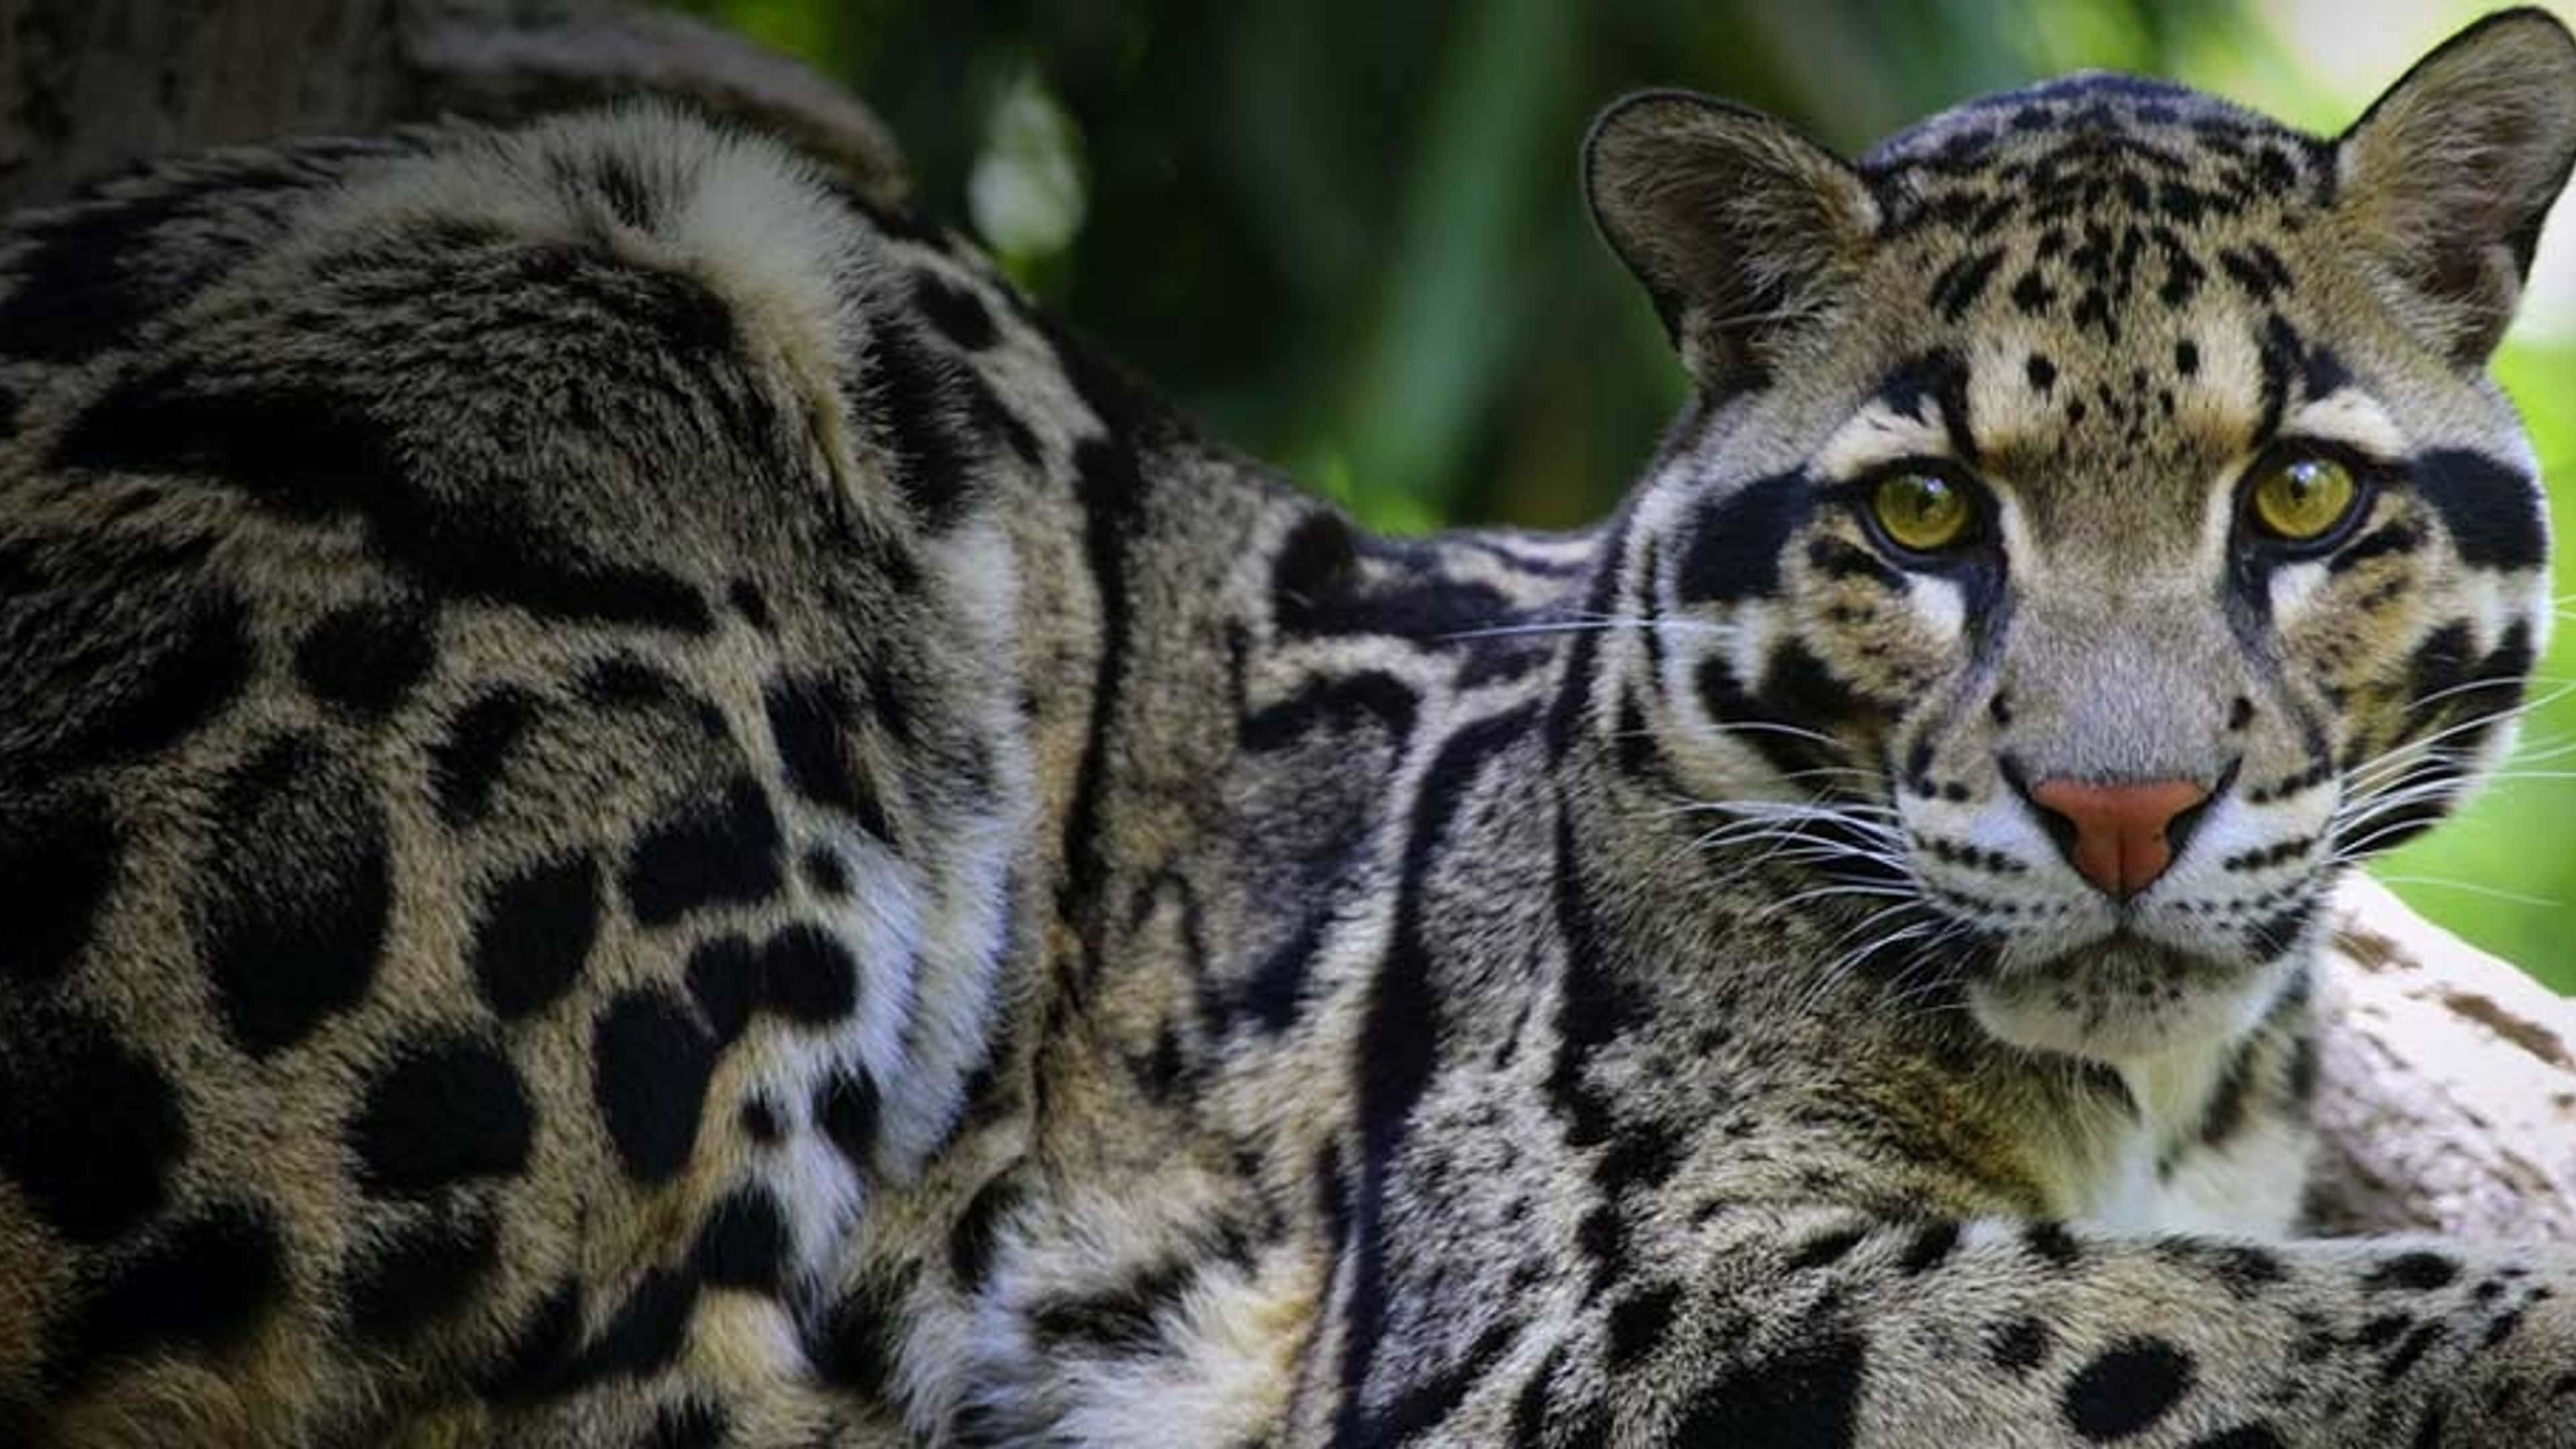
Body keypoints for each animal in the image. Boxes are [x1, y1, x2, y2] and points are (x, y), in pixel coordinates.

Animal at [3, 6, 2575, 1445]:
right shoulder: (1585, 1317)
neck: (2148, 1087)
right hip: (648, 316)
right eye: (1925, 509)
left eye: (2302, 493)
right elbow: (2207, 1326)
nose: (2121, 812)